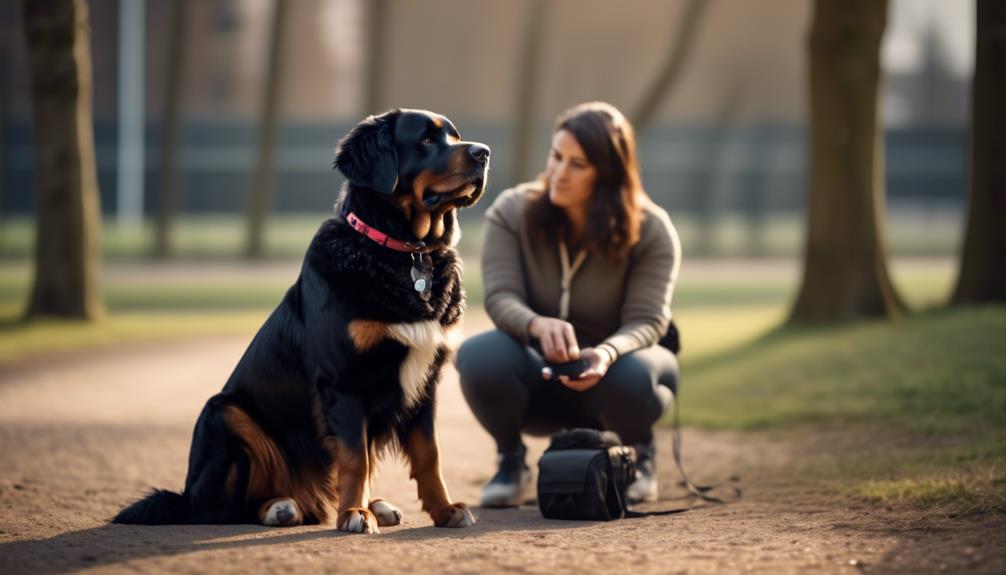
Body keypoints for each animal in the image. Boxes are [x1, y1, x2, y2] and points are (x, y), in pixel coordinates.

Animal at [114, 110, 490, 530]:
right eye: (425, 139)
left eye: (454, 136)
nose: (483, 152)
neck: (405, 253)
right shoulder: (343, 380)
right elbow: (355, 459)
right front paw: (354, 513)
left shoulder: (426, 381)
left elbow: (429, 455)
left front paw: (444, 509)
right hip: (223, 413)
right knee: (217, 509)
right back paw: (280, 507)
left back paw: (367, 504)